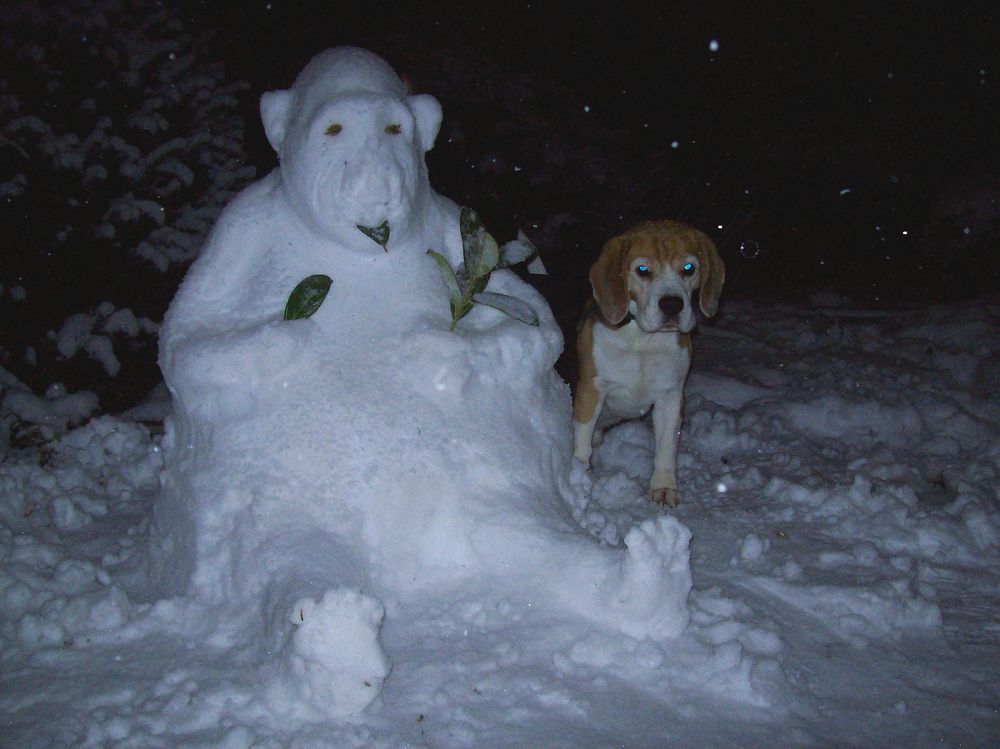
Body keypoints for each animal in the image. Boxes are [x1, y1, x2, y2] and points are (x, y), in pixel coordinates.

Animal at [572, 219, 728, 506]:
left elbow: (666, 447)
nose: (672, 305)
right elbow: (582, 442)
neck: (642, 339)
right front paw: (577, 478)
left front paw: (664, 487)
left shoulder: (671, 396)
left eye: (688, 268)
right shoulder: (591, 391)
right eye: (643, 270)